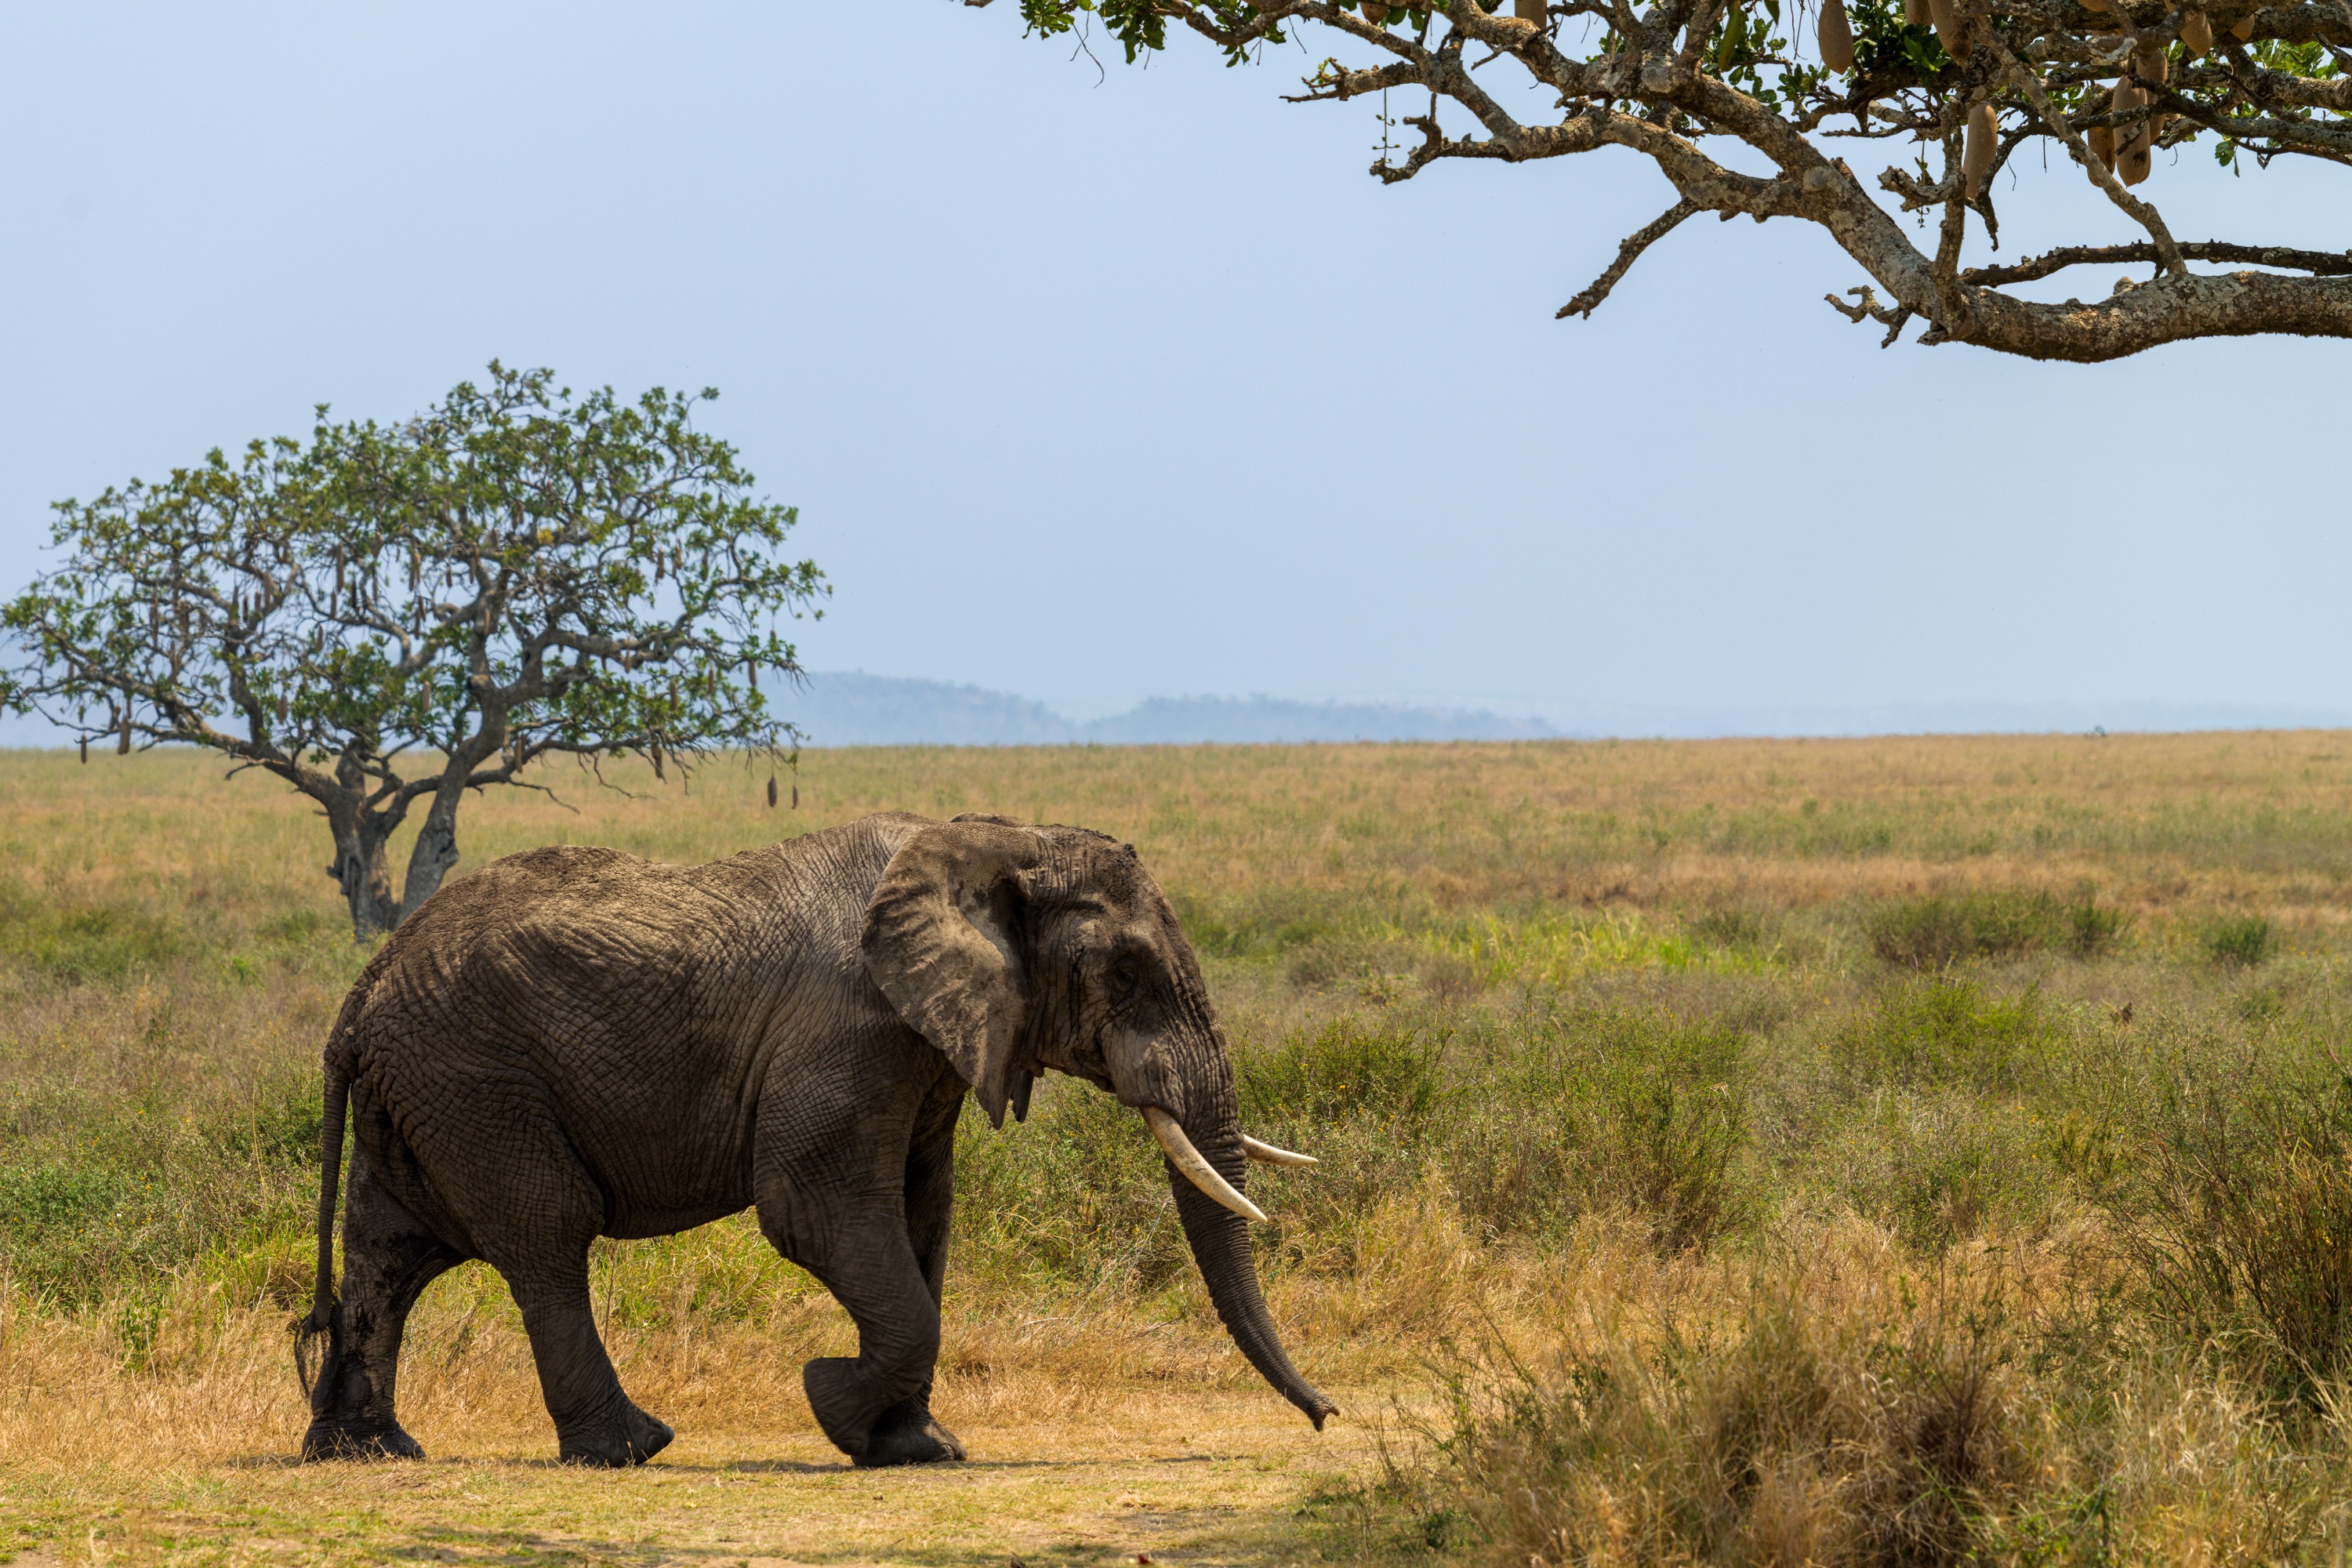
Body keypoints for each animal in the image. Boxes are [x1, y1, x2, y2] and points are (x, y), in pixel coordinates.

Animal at [294, 810, 1336, 1467]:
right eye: (1124, 972)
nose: (1329, 1415)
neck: (997, 836)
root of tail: (360, 990)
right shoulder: (848, 1026)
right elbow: (815, 1210)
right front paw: (833, 1399)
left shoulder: (926, 1043)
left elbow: (923, 1215)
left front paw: (917, 1449)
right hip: (476, 1078)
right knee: (546, 1233)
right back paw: (630, 1448)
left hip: (426, 1087)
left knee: (394, 1249)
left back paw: (368, 1450)